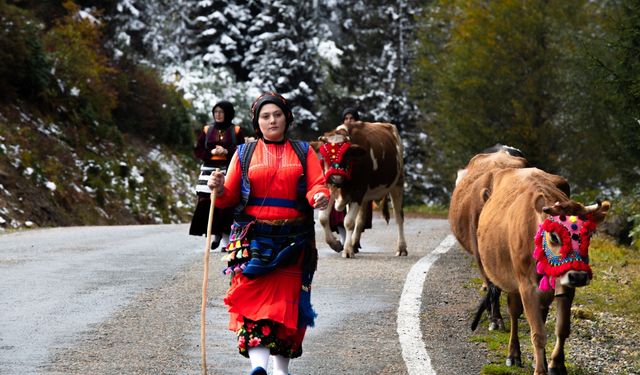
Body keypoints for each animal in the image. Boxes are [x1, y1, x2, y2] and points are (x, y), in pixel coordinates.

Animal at [314, 122, 404, 258]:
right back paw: (354, 244)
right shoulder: (330, 188)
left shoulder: (357, 192)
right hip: (366, 196)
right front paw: (335, 244)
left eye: (346, 155)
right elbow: (323, 218)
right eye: (324, 155)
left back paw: (401, 248)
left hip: (397, 184)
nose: (336, 178)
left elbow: (348, 222)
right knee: (360, 220)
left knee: (399, 218)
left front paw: (347, 250)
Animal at [476, 168, 608, 375]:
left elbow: (562, 328)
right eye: (554, 236)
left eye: (589, 233)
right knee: (514, 313)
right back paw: (513, 355)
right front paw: (539, 369)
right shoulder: (527, 286)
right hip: (511, 281)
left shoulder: (566, 285)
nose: (579, 276)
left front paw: (556, 365)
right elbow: (537, 333)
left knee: (541, 314)